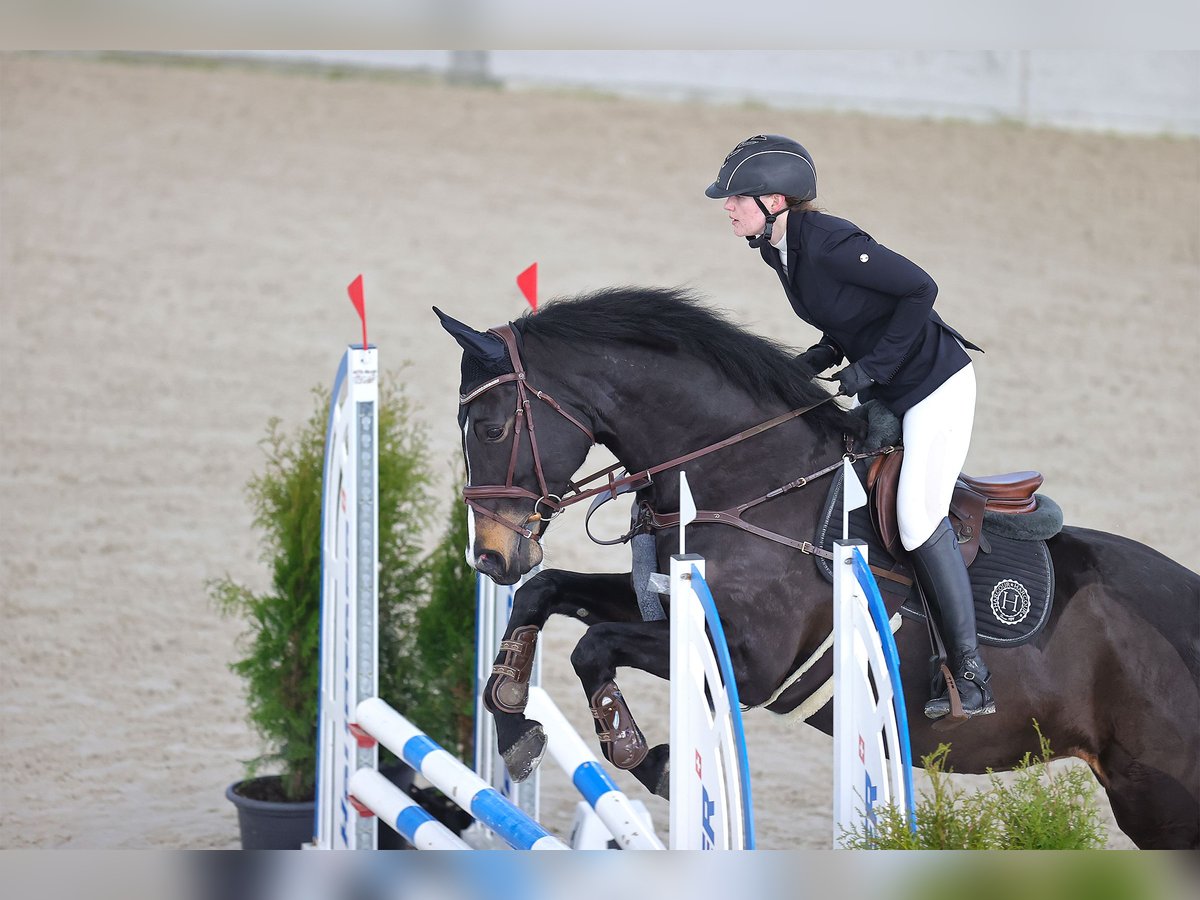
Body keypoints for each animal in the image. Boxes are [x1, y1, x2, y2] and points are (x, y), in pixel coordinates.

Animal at [439, 289, 1200, 854]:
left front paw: (644, 754)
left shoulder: (753, 666)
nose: (491, 556)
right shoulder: (667, 604)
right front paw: (514, 722)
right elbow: (546, 594)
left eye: (493, 428)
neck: (747, 477)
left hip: (1160, 802)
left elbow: (593, 646)